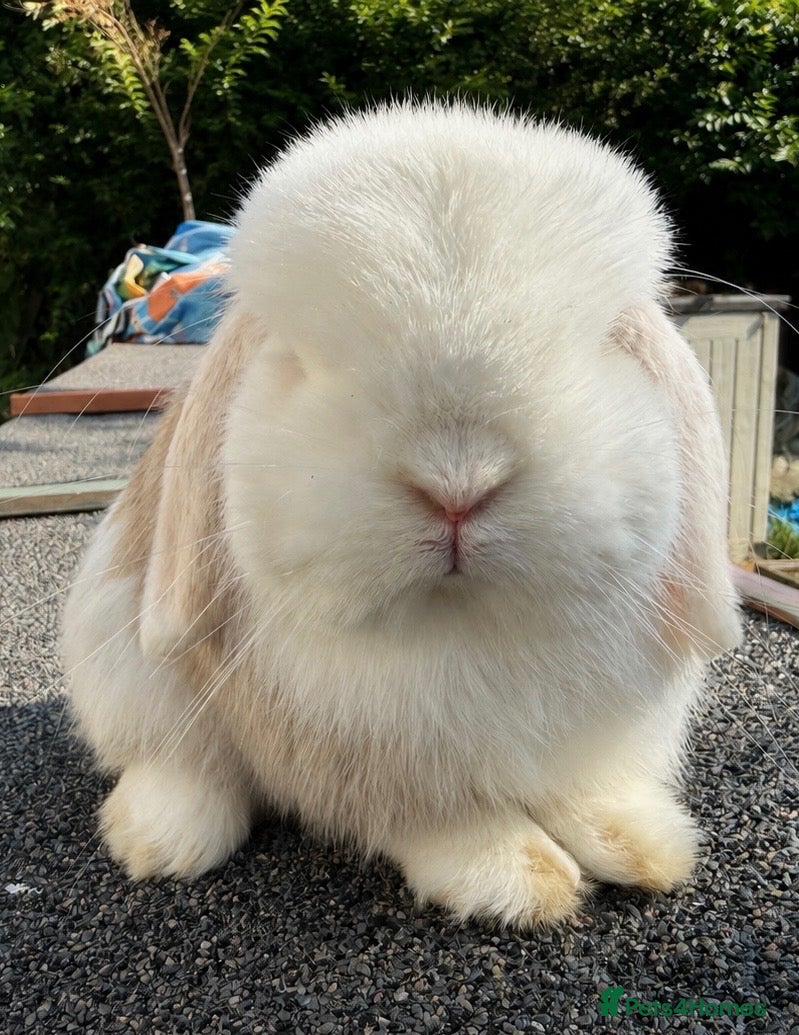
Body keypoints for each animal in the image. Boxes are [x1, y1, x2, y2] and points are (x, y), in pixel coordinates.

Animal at [61, 99, 741, 928]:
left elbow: (582, 790)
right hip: (121, 664)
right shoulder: (375, 767)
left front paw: (643, 843)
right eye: (296, 356)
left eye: (604, 341)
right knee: (174, 760)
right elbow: (443, 821)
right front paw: (516, 878)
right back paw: (160, 839)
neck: (460, 628)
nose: (457, 481)